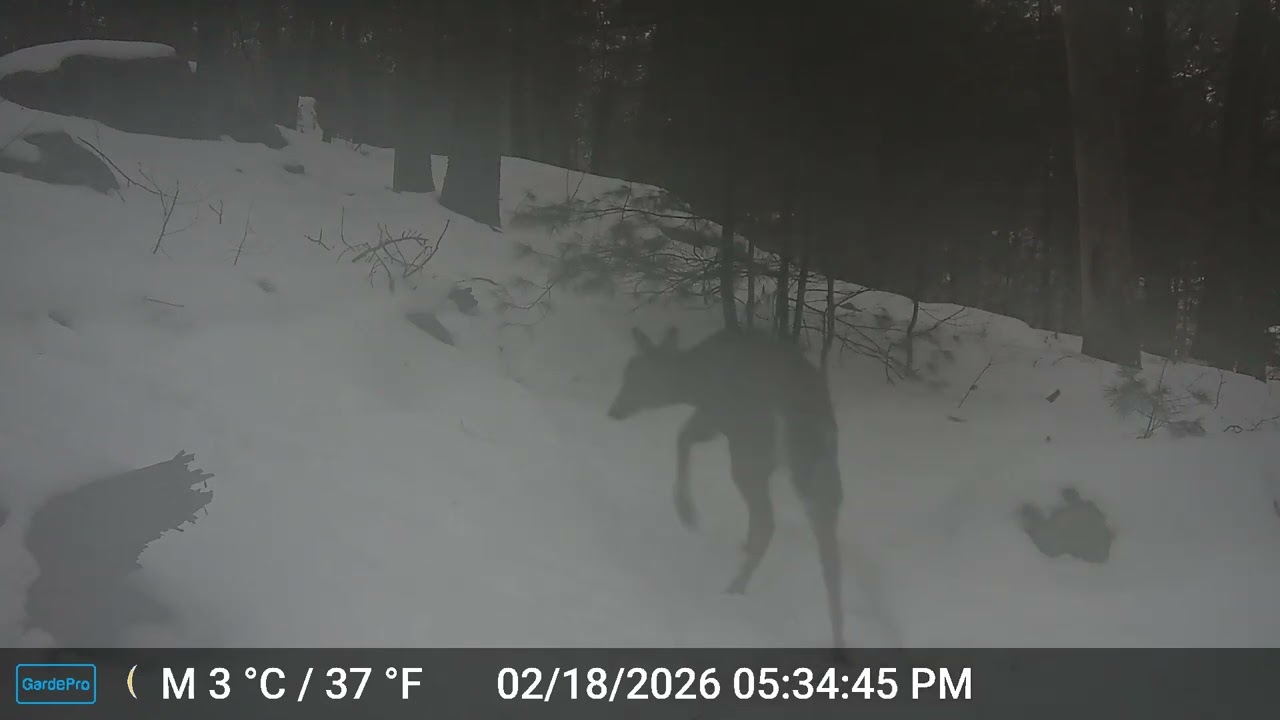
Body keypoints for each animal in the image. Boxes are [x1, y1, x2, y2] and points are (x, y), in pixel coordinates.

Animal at [607, 325, 846, 651]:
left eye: (638, 376)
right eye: (627, 372)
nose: (614, 411)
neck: (695, 380)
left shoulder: (714, 414)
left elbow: (681, 438)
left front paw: (687, 513)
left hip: (753, 446)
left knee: (768, 520)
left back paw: (734, 587)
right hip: (821, 468)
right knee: (827, 545)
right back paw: (838, 637)